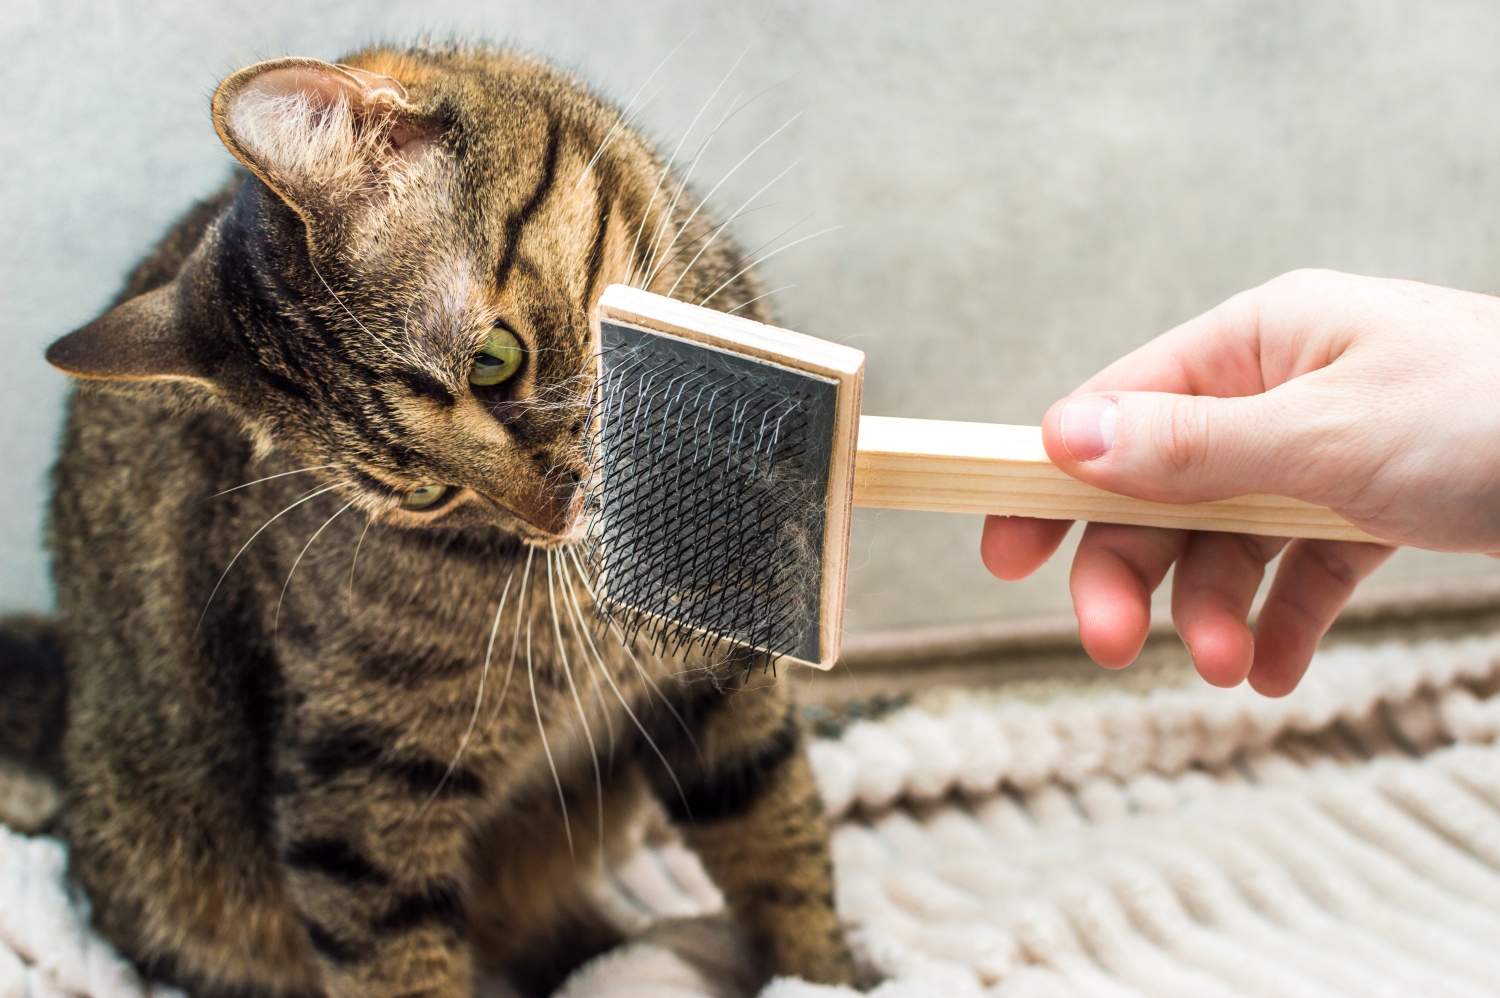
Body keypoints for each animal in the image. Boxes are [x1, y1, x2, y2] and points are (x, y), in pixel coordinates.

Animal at [2, 44, 858, 996]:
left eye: (494, 361)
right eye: (420, 495)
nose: (555, 517)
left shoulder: (717, 669)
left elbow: (779, 848)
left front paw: (829, 972)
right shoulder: (357, 787)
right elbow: (398, 962)